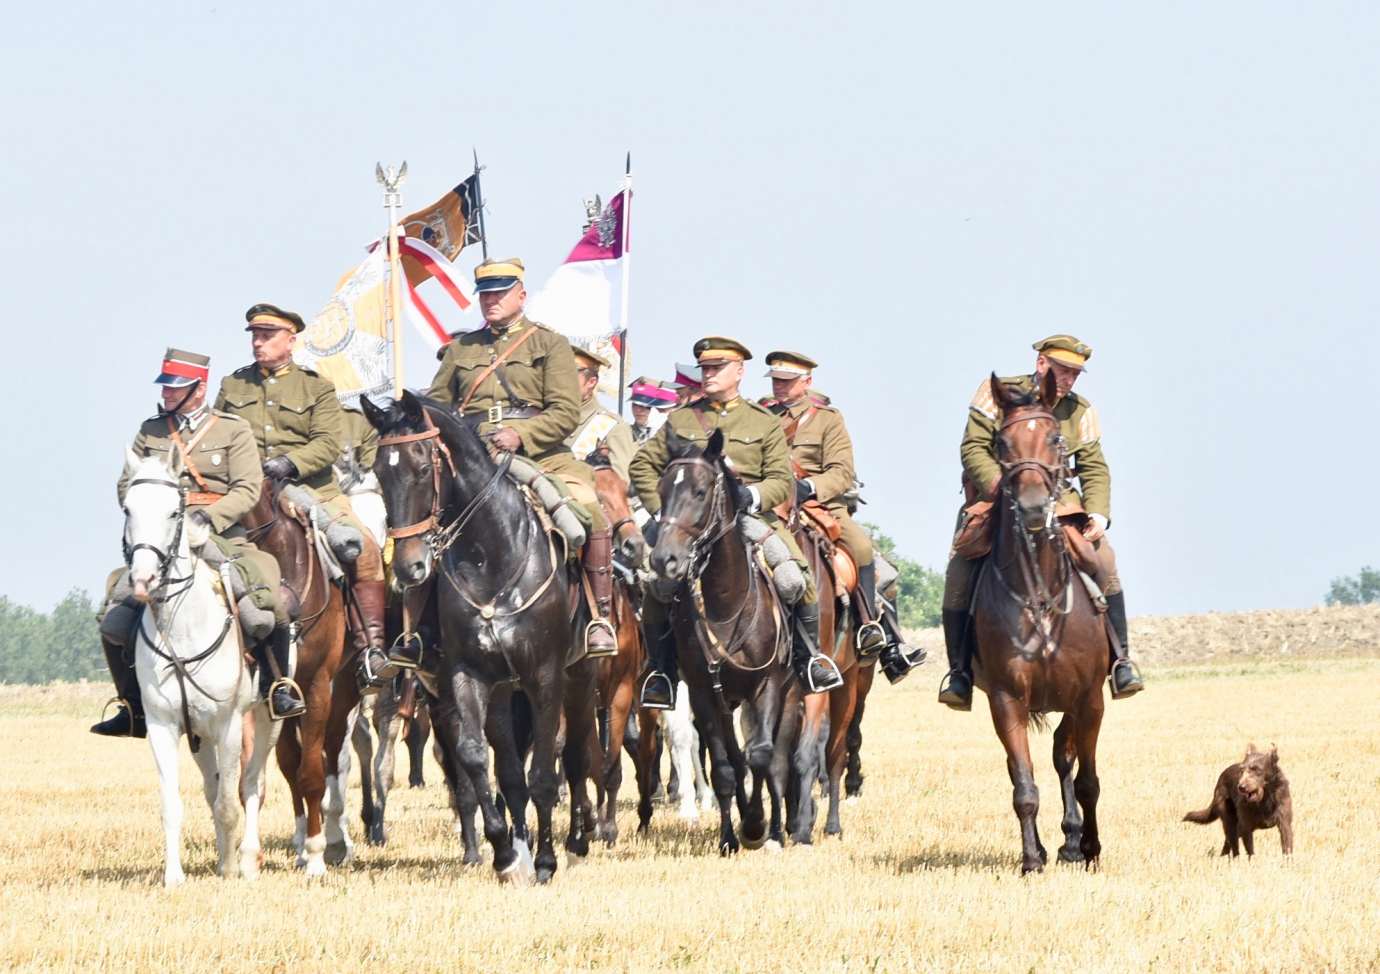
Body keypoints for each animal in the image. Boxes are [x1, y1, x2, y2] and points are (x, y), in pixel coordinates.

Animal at [124, 452, 282, 882]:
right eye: (127, 508)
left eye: (173, 511)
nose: (143, 578)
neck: (181, 628)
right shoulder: (162, 725)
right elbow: (172, 805)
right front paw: (173, 877)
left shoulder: (229, 725)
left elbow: (230, 802)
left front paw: (228, 870)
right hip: (199, 736)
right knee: (214, 789)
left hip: (268, 720)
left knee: (251, 785)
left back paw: (246, 860)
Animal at [361, 389, 593, 882]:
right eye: (379, 471)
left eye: (422, 467)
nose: (410, 567)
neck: (493, 559)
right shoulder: (468, 676)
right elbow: (475, 759)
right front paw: (505, 852)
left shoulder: (545, 676)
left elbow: (544, 771)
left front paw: (545, 861)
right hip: (501, 692)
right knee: (507, 767)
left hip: (583, 680)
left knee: (575, 753)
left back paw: (575, 840)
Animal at [648, 427, 805, 849]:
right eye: (662, 490)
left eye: (701, 492)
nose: (663, 560)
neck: (725, 605)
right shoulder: (704, 693)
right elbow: (724, 765)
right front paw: (731, 836)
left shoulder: (767, 686)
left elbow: (763, 756)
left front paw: (758, 826)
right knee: (733, 757)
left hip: (790, 694)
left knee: (776, 760)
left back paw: (777, 828)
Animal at [971, 372, 1109, 871]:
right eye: (1002, 442)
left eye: (1054, 438)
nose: (1032, 508)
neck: (1040, 597)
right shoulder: (1006, 700)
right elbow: (1023, 785)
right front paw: (1032, 859)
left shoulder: (1089, 699)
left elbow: (1087, 781)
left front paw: (1090, 849)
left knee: (1065, 758)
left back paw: (1073, 841)